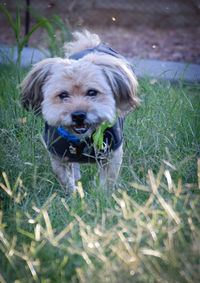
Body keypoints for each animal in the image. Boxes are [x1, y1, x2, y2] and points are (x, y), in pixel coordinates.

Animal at [19, 30, 139, 195]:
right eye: (63, 95)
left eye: (92, 92)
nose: (78, 115)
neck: (83, 139)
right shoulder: (58, 156)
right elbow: (65, 179)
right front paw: (74, 194)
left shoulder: (112, 154)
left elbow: (108, 181)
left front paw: (102, 196)